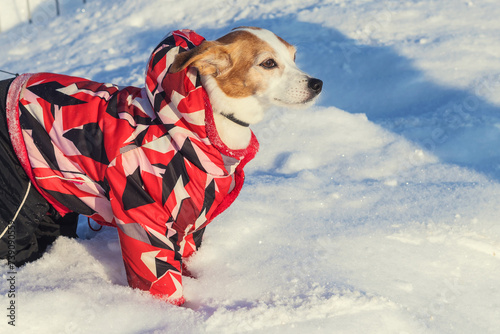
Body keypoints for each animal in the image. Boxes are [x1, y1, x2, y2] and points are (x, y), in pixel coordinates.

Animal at [0, 26, 320, 302]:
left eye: (293, 57)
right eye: (268, 63)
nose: (317, 83)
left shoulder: (190, 222)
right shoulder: (142, 220)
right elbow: (159, 277)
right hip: (16, 210)